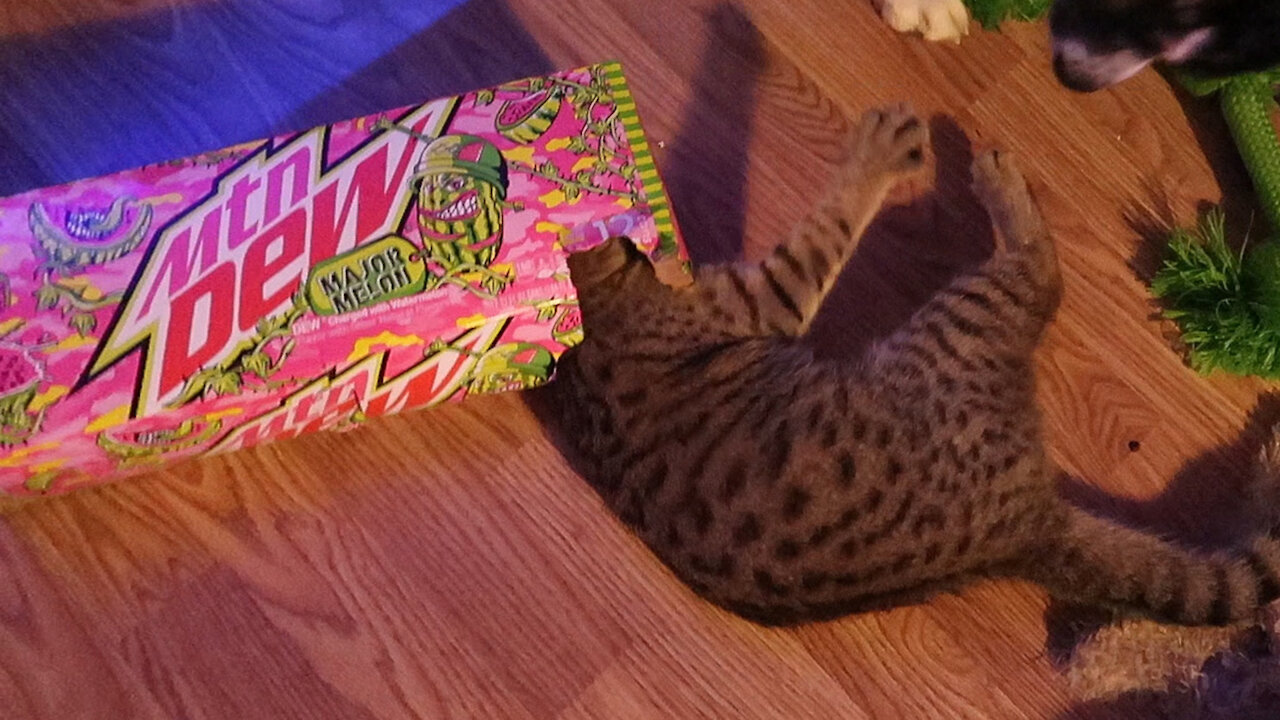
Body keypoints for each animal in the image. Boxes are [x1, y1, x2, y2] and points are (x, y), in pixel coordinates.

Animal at [555, 103, 1280, 625]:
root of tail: (1025, 530)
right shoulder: (764, 298)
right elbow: (835, 217)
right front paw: (876, 152)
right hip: (965, 323)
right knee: (1042, 274)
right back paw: (997, 178)